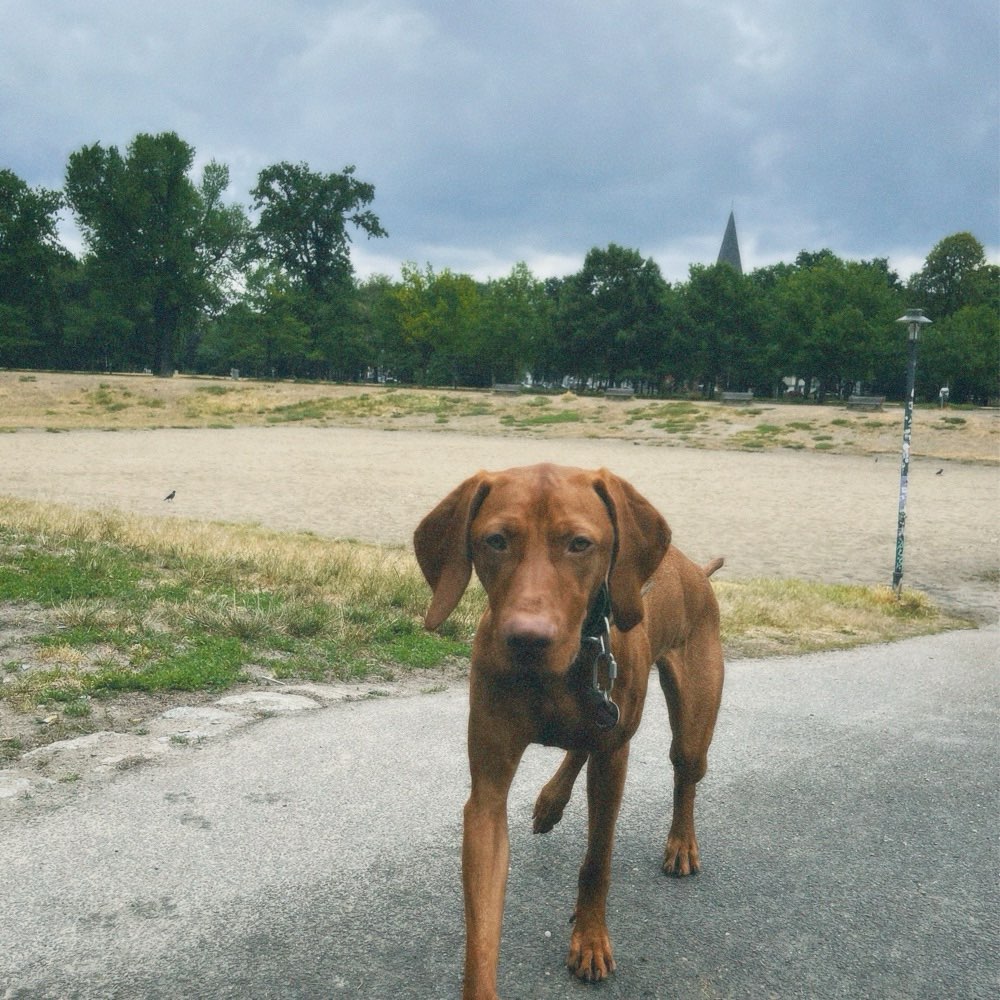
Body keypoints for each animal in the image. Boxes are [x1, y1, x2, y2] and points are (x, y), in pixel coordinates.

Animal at [414, 464, 728, 996]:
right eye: (495, 540)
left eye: (580, 544)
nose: (527, 640)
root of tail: (691, 570)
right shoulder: (487, 796)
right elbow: (482, 927)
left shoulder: (613, 762)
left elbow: (596, 862)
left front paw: (590, 940)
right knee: (580, 746)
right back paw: (551, 801)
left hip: (690, 721)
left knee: (685, 775)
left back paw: (681, 844)